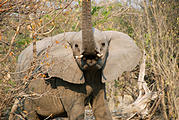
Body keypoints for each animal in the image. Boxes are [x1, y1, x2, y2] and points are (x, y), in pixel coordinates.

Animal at [10, 0, 141, 120]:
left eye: (103, 44)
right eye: (76, 46)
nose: (90, 57)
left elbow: (102, 110)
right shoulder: (65, 81)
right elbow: (76, 112)